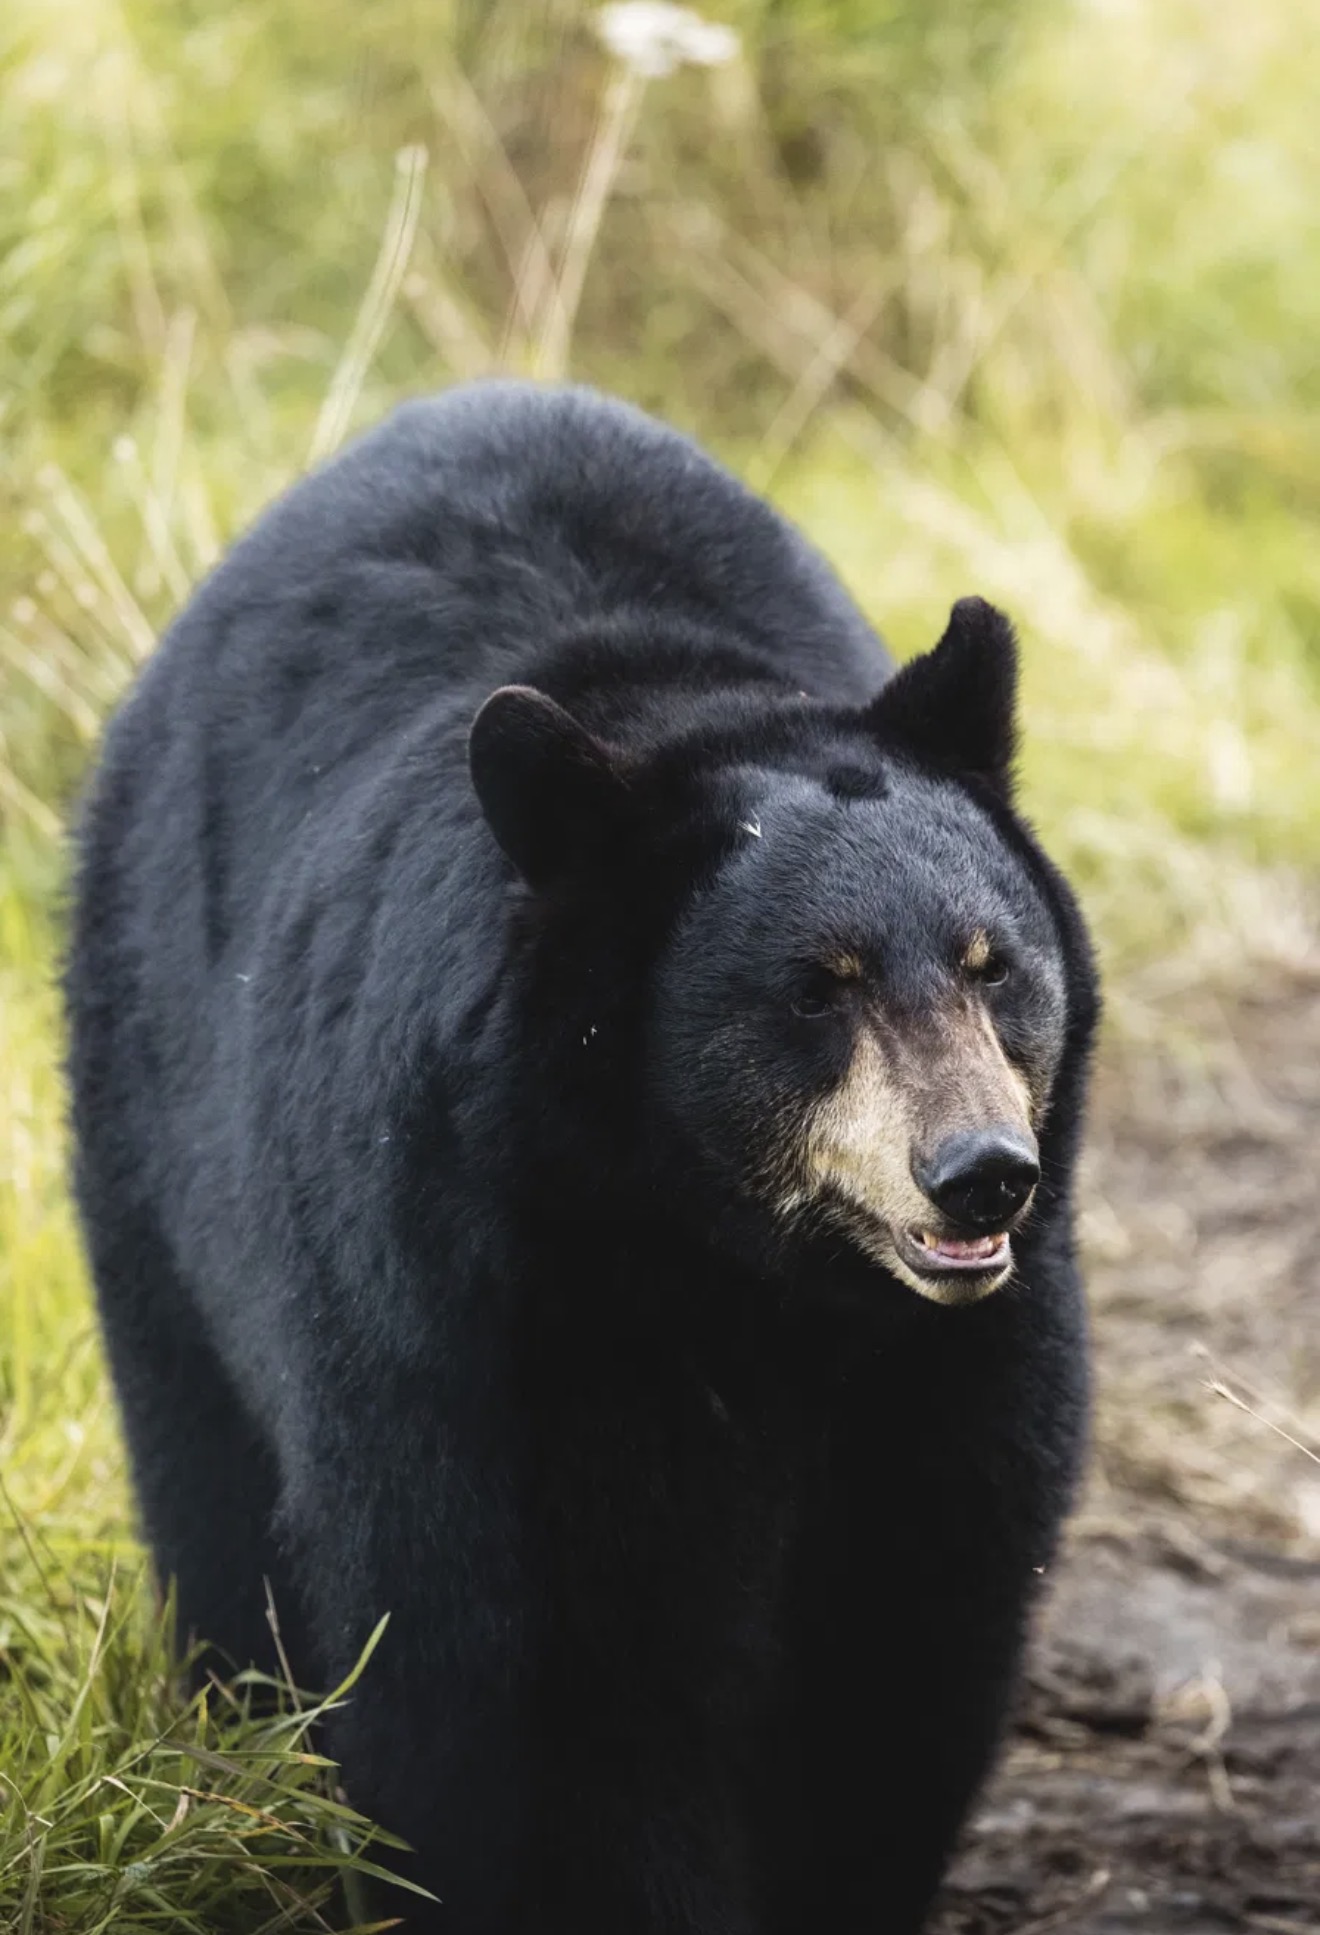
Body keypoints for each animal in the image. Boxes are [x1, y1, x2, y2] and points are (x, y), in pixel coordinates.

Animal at [65, 380, 1098, 1935]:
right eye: (819, 988)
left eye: (994, 966)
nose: (979, 1171)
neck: (738, 1270)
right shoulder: (478, 1305)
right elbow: (535, 1688)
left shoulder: (956, 1370)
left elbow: (899, 1650)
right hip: (150, 1145)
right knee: (213, 1498)